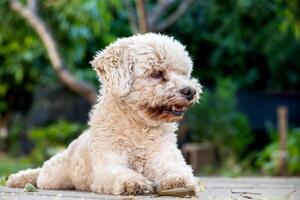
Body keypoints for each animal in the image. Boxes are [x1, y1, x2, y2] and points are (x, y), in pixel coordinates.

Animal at [7, 33, 203, 195]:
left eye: (184, 73)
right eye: (157, 73)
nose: (190, 91)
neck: (137, 125)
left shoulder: (165, 158)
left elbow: (177, 170)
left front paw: (178, 180)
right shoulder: (108, 165)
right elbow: (119, 173)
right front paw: (132, 182)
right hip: (50, 177)